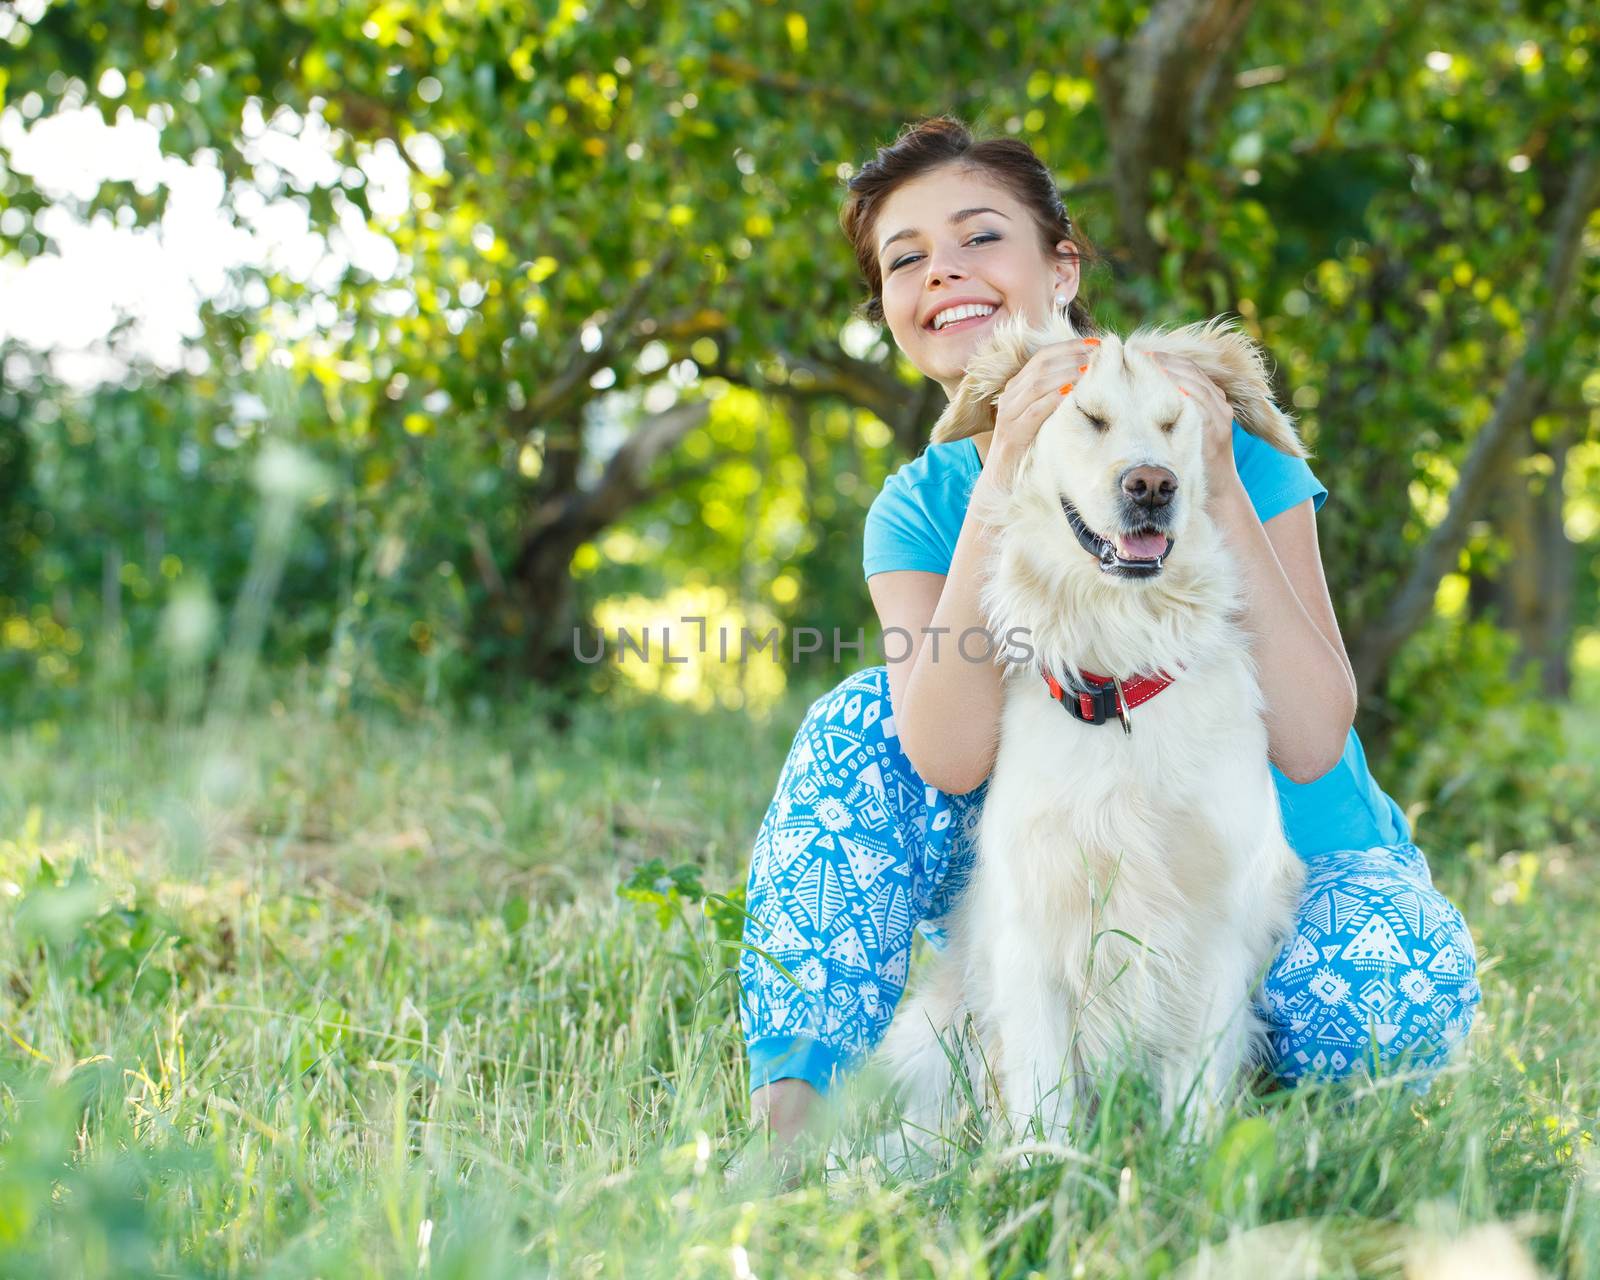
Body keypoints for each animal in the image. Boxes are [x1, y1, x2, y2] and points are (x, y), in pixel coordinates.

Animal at [883, 312, 1305, 1152]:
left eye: (1176, 423)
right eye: (1090, 417)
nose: (1152, 485)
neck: (1123, 681)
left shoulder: (1214, 921)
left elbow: (1197, 1089)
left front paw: (1192, 1164)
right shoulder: (1031, 920)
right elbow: (1041, 1087)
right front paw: (1042, 1164)